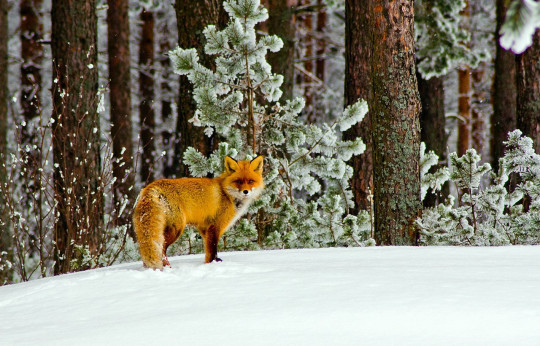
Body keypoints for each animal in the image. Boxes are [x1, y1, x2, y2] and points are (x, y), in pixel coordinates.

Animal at [133, 155, 264, 268]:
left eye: (251, 181)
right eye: (239, 181)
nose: (246, 192)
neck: (226, 194)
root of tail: (151, 187)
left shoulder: (204, 227)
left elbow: (208, 252)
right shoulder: (215, 226)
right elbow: (212, 251)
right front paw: (212, 266)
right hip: (176, 229)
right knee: (161, 249)